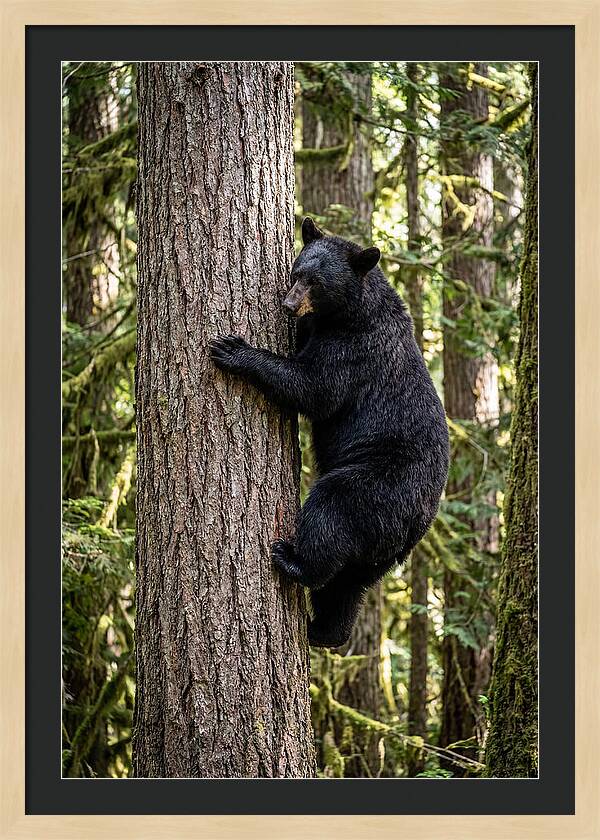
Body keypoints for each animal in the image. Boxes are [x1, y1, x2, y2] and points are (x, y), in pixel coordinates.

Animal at [209, 217, 449, 648]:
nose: (288, 305)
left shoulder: (354, 350)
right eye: (296, 272)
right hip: (379, 550)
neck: (350, 312)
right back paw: (325, 630)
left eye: (316, 282)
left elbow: (315, 387)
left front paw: (234, 349)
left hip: (377, 485)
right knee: (348, 584)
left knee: (331, 512)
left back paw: (292, 560)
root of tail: (418, 523)